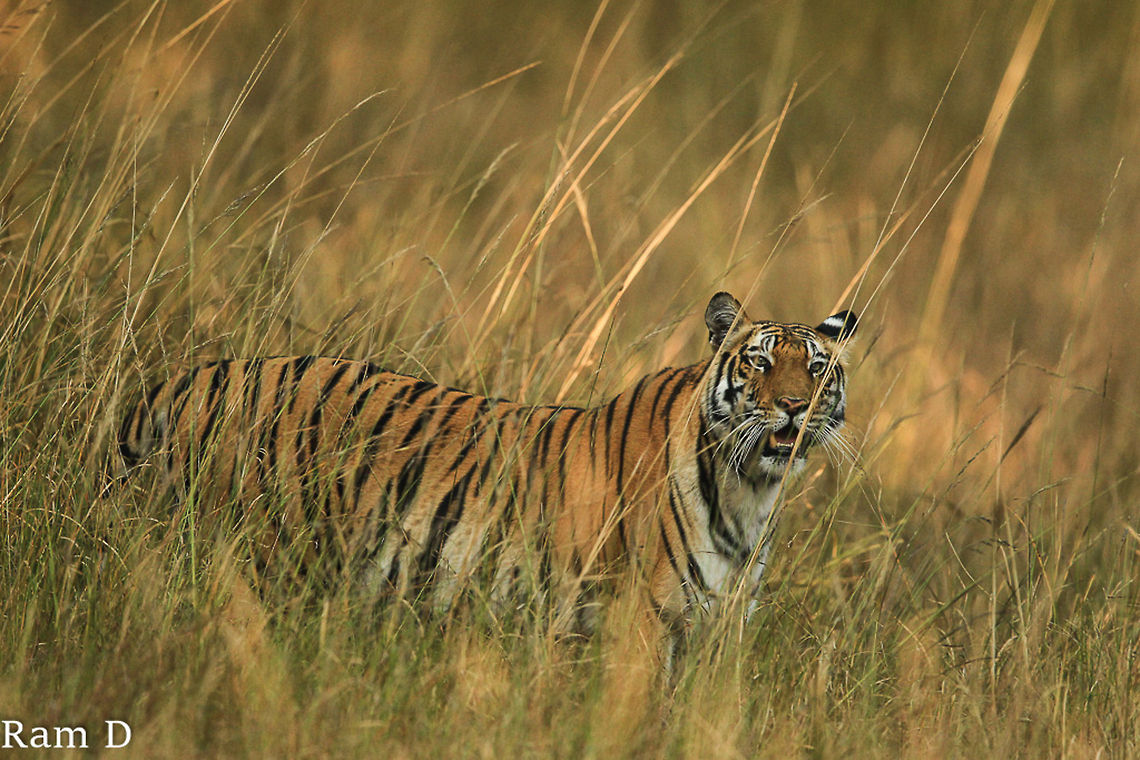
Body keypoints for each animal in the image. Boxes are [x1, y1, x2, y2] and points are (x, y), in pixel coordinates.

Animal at [115, 292, 857, 668]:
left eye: (817, 366)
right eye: (759, 362)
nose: (795, 405)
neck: (750, 494)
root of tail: (192, 376)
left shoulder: (715, 631)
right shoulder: (643, 624)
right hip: (251, 556)